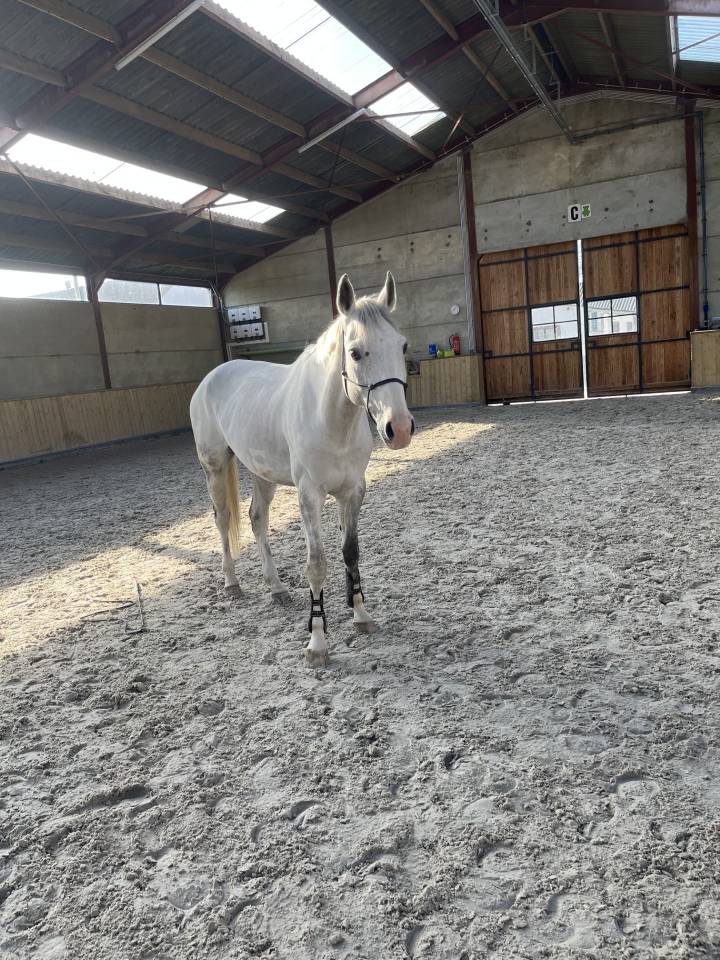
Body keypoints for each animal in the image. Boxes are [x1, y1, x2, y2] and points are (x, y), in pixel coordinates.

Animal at [190, 271, 415, 666]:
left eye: (401, 346)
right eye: (355, 352)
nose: (398, 429)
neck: (331, 420)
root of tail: (211, 377)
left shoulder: (353, 491)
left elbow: (351, 553)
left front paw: (361, 616)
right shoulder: (310, 496)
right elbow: (317, 564)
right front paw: (317, 643)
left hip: (262, 474)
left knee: (257, 519)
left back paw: (277, 588)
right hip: (214, 467)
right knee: (223, 519)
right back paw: (232, 582)